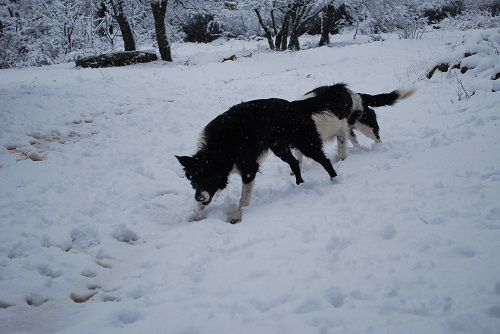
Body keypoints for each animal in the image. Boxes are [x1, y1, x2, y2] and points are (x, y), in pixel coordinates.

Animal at [176, 99, 336, 224]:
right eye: (193, 181)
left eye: (208, 179)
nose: (198, 197)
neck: (220, 147)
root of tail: (295, 104)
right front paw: (198, 215)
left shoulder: (249, 168)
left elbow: (243, 198)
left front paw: (237, 216)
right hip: (280, 148)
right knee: (295, 162)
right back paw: (300, 184)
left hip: (305, 142)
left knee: (325, 161)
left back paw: (334, 181)